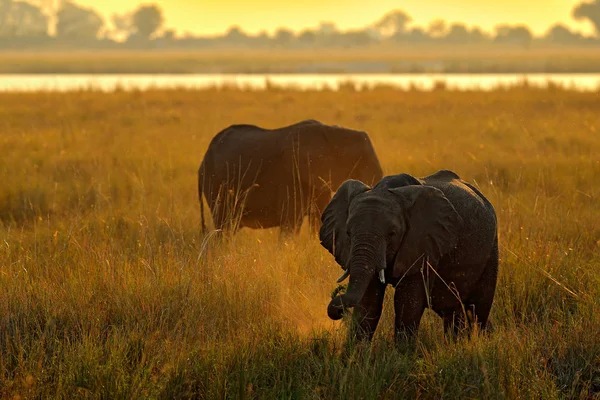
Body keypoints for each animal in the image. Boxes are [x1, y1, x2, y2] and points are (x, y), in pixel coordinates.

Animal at [199, 120, 382, 236]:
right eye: (362, 160)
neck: (332, 132)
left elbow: (320, 219)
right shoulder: (291, 177)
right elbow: (291, 223)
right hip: (215, 184)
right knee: (224, 225)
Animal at [322, 170, 500, 342]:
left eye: (392, 234)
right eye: (348, 233)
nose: (339, 311)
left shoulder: (421, 244)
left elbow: (406, 303)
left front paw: (402, 352)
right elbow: (369, 302)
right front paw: (355, 351)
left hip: (491, 248)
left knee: (478, 308)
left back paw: (483, 341)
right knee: (451, 308)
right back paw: (458, 343)